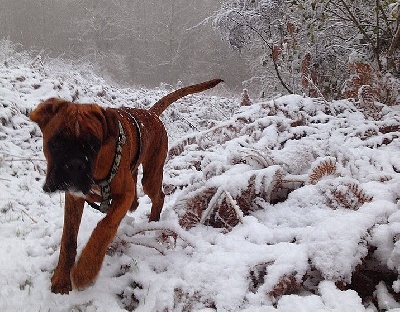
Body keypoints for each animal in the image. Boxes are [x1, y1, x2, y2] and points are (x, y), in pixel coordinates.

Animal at [29, 78, 223, 292]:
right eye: (55, 142)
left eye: (94, 145)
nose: (74, 164)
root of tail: (151, 114)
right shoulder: (75, 197)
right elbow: (68, 240)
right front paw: (61, 278)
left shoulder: (123, 195)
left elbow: (104, 227)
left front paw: (85, 270)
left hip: (151, 176)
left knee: (159, 196)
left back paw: (153, 222)